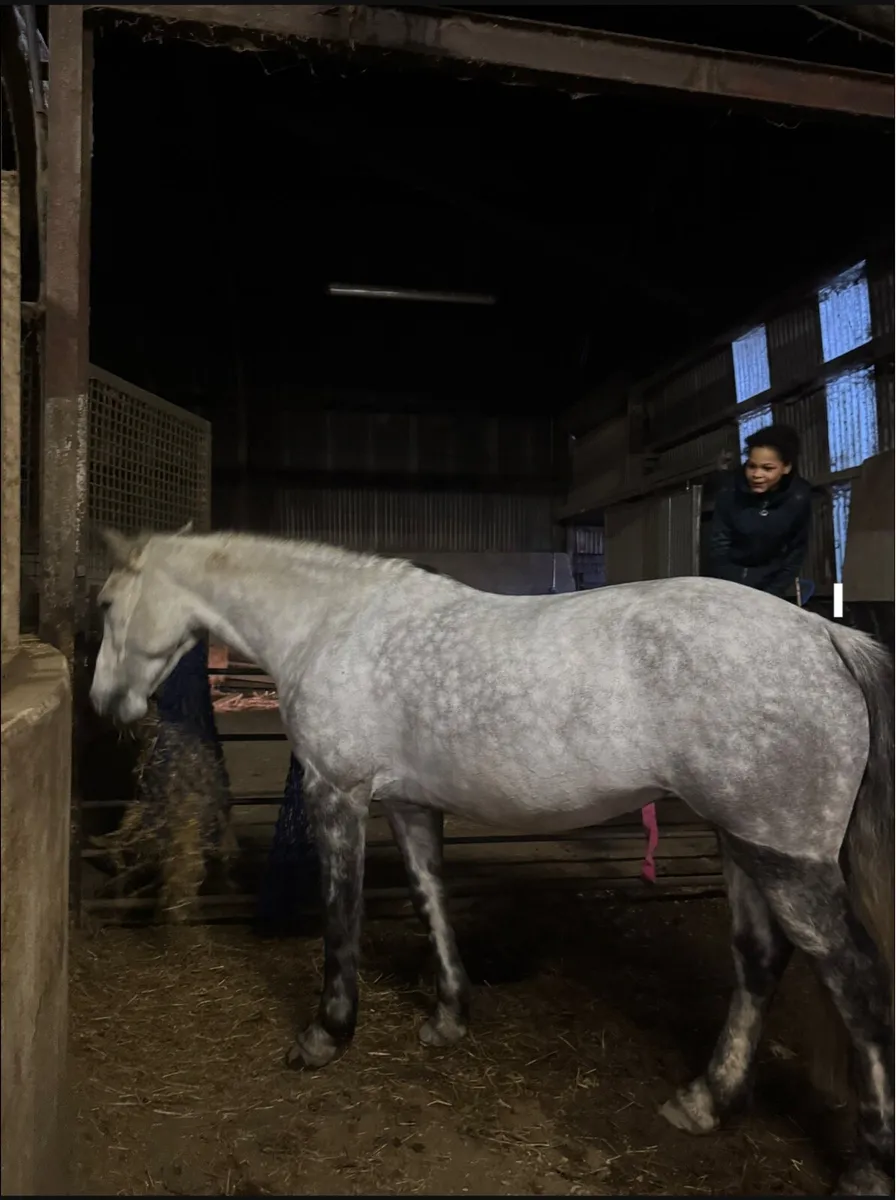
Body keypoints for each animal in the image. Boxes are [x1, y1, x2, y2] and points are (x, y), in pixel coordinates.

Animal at [89, 527, 894, 1195]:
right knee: (759, 962)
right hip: (745, 844)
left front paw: (326, 1035)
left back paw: (866, 1166)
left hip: (787, 859)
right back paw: (704, 1102)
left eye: (106, 604)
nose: (105, 702)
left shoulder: (337, 793)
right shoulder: (410, 807)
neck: (331, 623)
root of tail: (826, 635)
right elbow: (430, 898)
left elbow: (341, 916)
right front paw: (449, 1015)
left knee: (856, 982)